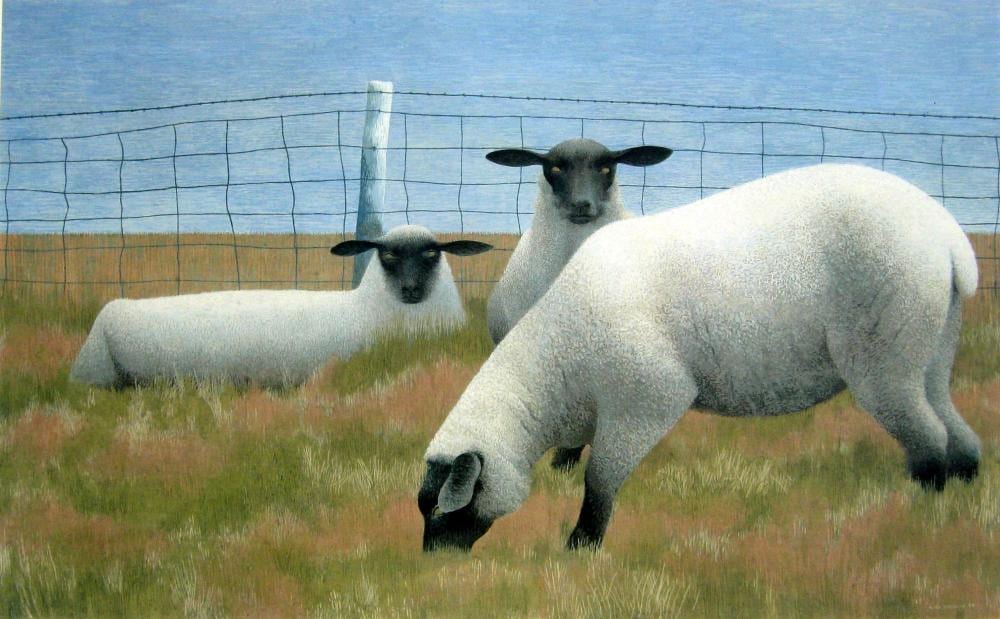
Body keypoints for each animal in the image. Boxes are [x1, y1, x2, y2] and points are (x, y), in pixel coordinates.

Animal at [70, 225, 492, 389]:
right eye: (386, 255)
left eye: (432, 254)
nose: (410, 290)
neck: (364, 308)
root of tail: (111, 309)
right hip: (96, 375)